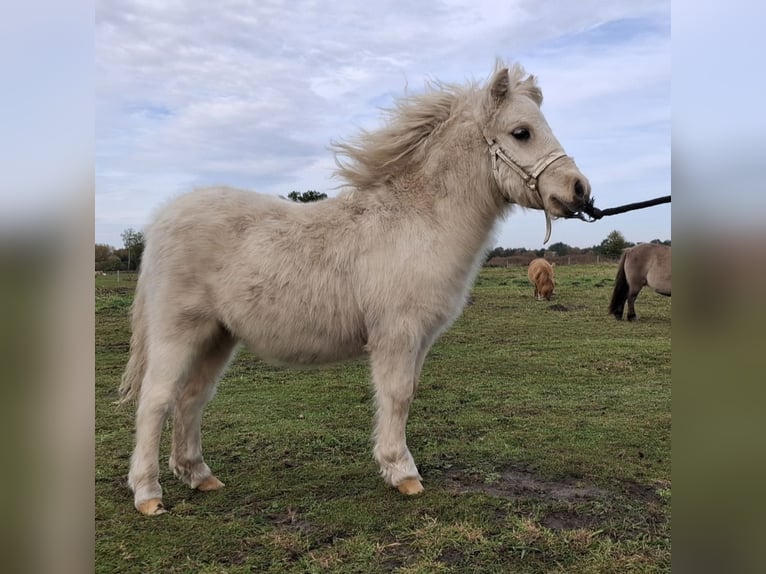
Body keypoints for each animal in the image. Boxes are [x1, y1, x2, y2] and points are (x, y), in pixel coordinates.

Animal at [119, 62, 592, 515]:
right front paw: (403, 472)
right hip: (178, 332)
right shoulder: (397, 333)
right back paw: (148, 494)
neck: (417, 222)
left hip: (218, 337)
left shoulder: (419, 339)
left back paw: (199, 475)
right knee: (156, 401)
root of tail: (162, 219)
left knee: (192, 398)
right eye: (521, 132)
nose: (580, 190)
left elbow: (407, 392)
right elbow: (397, 395)